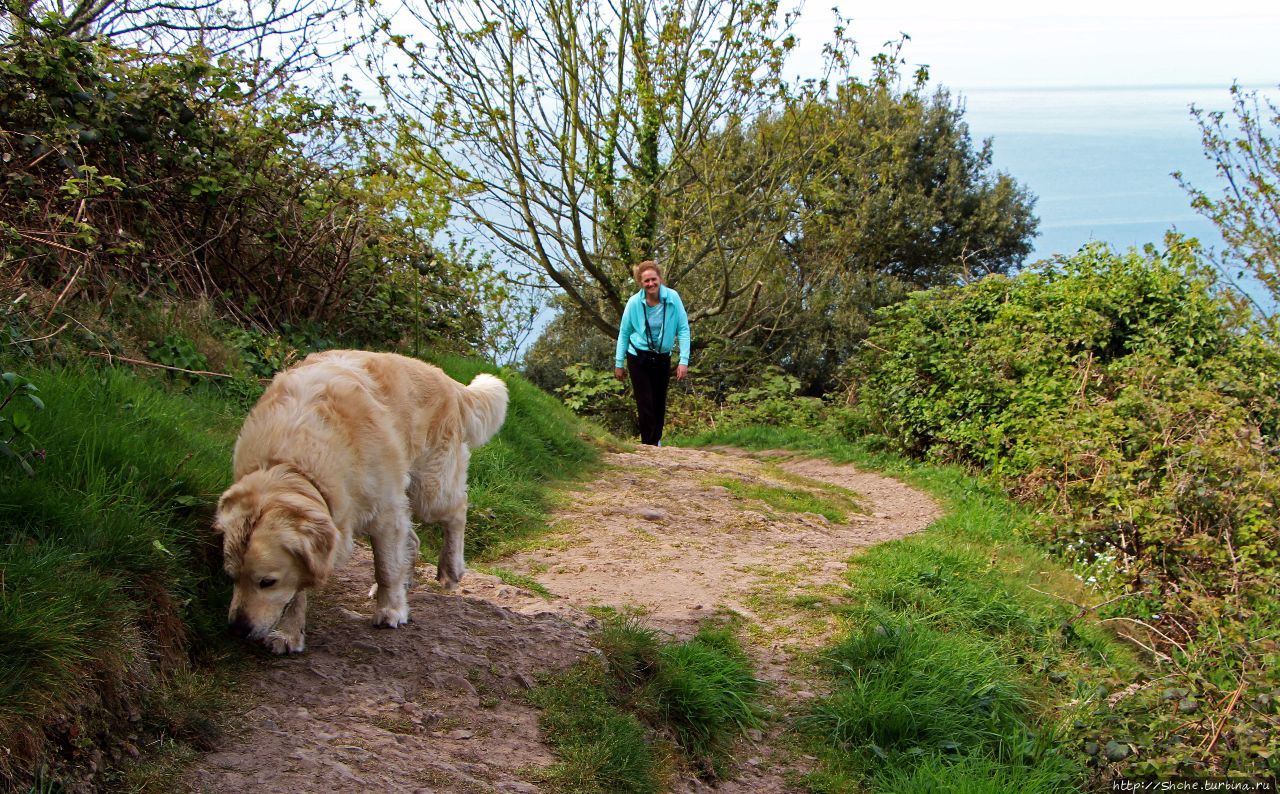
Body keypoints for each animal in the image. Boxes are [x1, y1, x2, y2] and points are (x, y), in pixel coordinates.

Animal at [213, 350, 504, 655]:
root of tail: (445, 378)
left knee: (457, 511)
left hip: (430, 489)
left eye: (267, 582)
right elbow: (297, 591)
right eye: (231, 577)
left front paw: (390, 611)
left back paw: (450, 569)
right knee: (413, 539)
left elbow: (386, 567)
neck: (290, 465)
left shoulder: (385, 512)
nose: (238, 629)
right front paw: (289, 633)